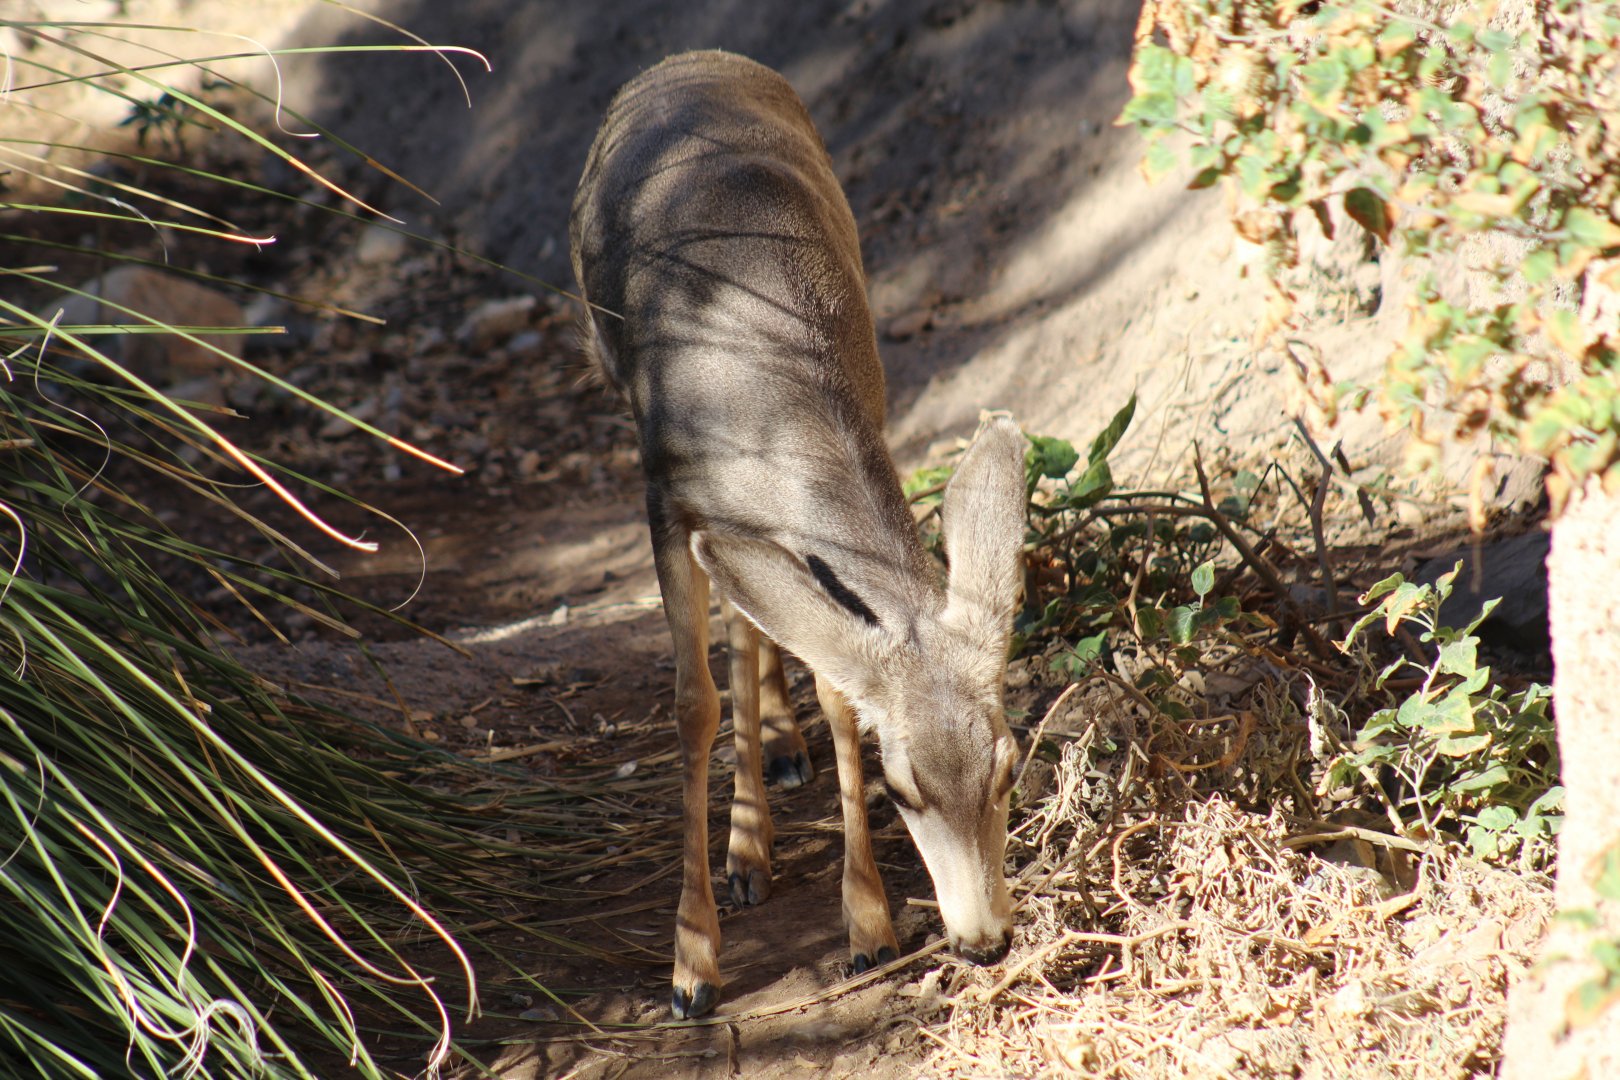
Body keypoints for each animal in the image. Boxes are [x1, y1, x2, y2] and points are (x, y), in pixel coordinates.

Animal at [569, 49, 1026, 1020]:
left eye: (1008, 766)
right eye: (904, 787)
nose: (985, 940)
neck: (768, 399)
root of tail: (687, 59)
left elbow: (834, 688)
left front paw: (868, 926)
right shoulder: (663, 494)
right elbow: (692, 703)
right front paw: (692, 964)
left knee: (755, 627)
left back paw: (772, 772)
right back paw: (747, 845)